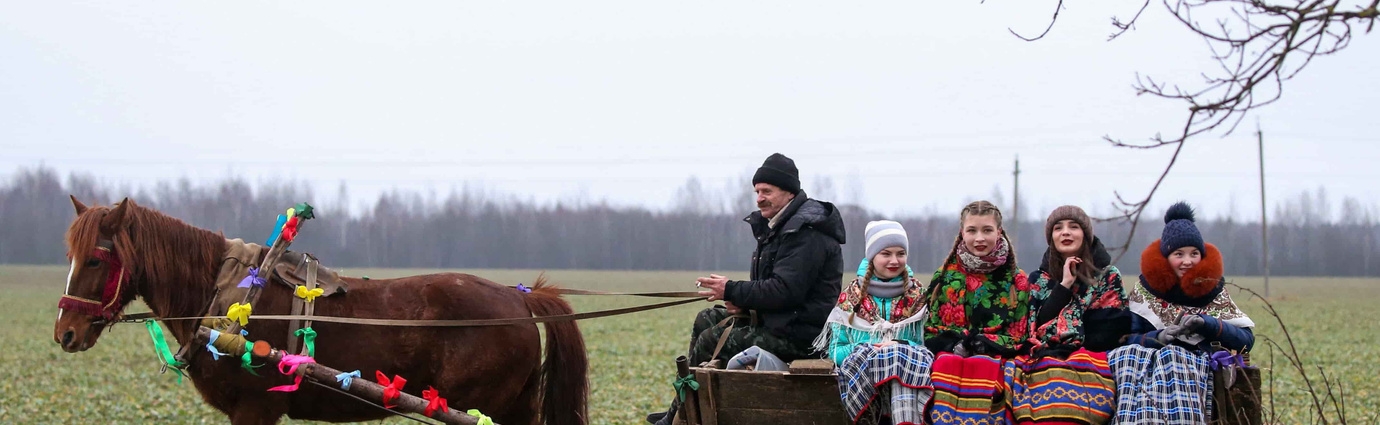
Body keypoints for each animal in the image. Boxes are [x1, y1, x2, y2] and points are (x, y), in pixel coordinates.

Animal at [50, 197, 582, 425]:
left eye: (96, 258)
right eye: (69, 254)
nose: (65, 333)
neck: (226, 298)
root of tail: (519, 298)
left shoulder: (256, 408)